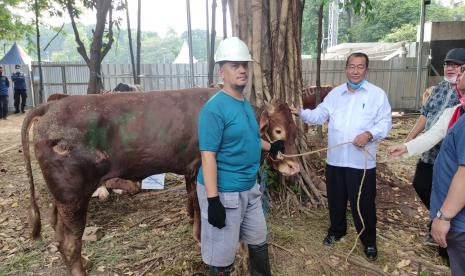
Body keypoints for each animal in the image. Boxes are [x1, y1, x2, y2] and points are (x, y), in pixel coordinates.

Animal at [22, 89, 298, 276]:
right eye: (277, 131)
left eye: (295, 129)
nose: (293, 166)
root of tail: (51, 106)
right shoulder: (202, 170)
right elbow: (203, 207)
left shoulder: (189, 170)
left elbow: (193, 202)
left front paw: (196, 234)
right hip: (74, 195)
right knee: (70, 242)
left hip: (63, 198)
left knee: (58, 234)